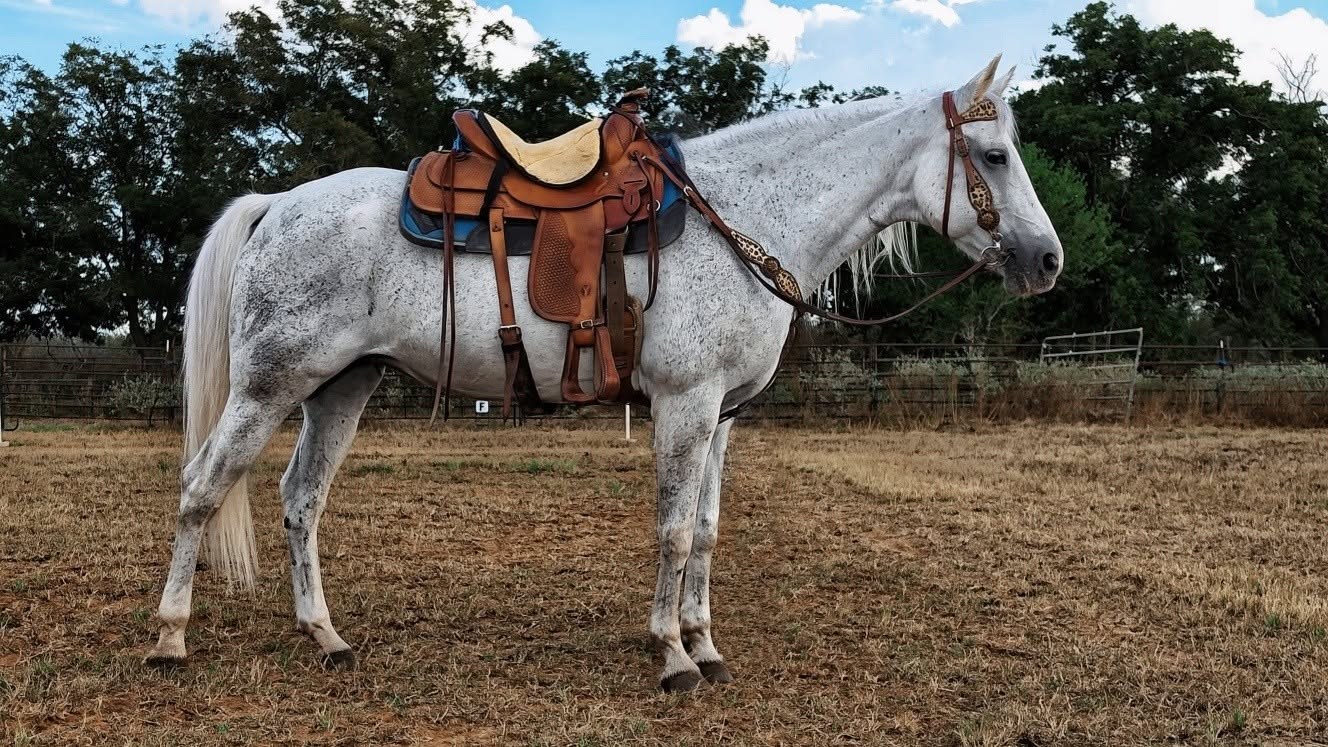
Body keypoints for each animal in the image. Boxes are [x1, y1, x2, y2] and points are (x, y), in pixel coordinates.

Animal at [145, 56, 1063, 692]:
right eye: (993, 155)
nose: (1048, 260)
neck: (745, 219)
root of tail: (280, 203)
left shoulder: (723, 415)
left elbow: (707, 530)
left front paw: (705, 643)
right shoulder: (685, 406)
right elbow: (673, 530)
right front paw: (671, 656)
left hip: (343, 385)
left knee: (301, 500)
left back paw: (324, 635)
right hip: (268, 386)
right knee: (199, 488)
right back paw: (170, 636)